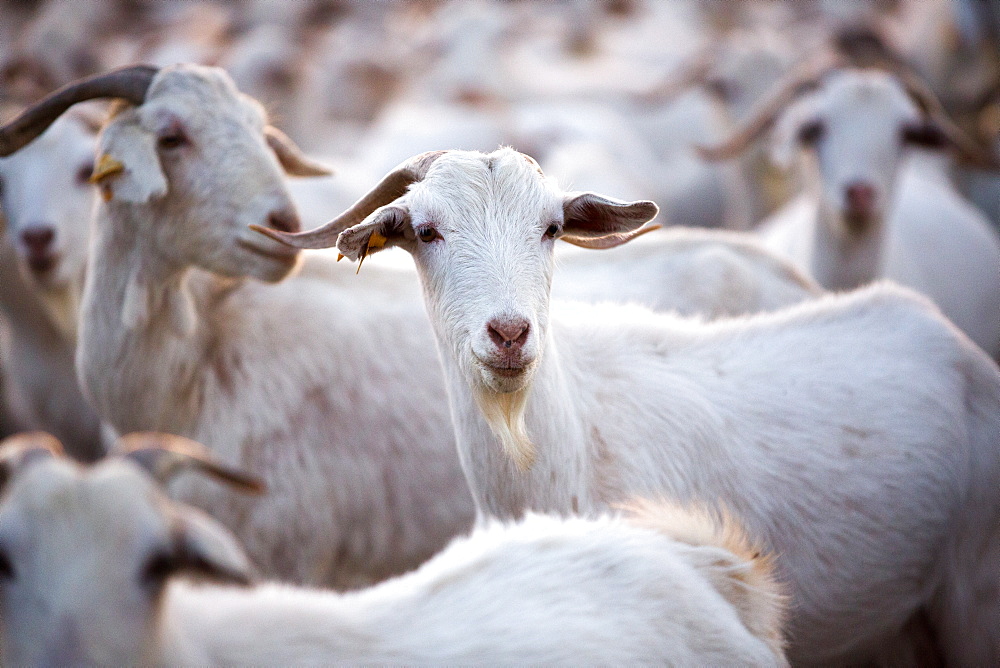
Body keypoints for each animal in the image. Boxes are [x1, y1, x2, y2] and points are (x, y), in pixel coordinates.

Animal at [260, 149, 1000, 664]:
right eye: (425, 229)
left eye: (552, 228)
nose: (509, 334)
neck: (571, 451)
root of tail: (960, 352)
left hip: (974, 595)